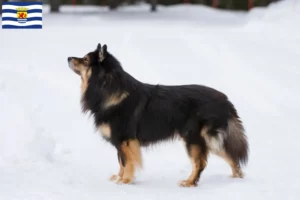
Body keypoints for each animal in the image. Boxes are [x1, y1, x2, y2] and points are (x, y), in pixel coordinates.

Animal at [67, 43, 248, 188]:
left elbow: (127, 162)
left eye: (85, 59)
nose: (68, 57)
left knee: (200, 163)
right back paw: (236, 178)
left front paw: (125, 181)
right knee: (232, 157)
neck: (108, 87)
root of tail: (225, 100)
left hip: (194, 137)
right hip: (210, 140)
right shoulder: (120, 142)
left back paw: (189, 182)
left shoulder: (125, 139)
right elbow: (121, 162)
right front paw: (119, 177)